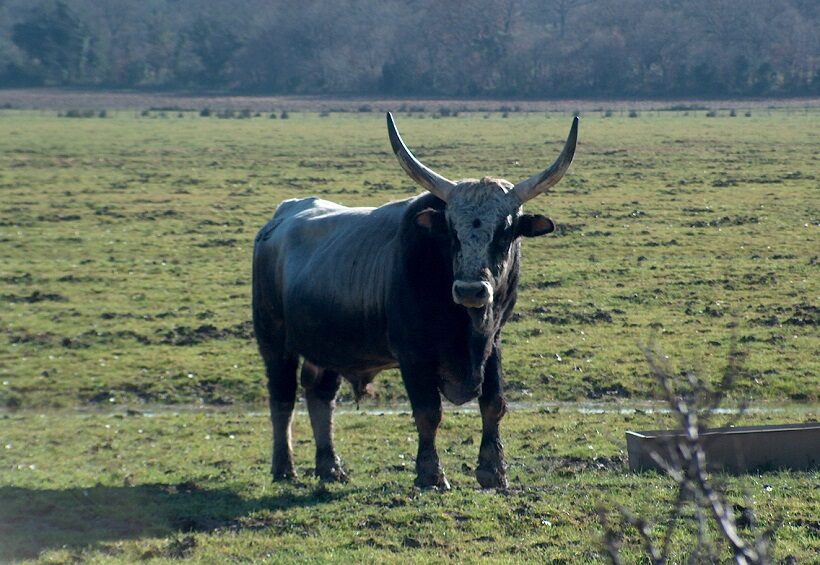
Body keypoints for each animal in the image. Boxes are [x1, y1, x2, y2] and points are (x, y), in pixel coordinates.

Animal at [250, 112, 576, 486]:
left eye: (505, 231)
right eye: (451, 230)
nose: (470, 290)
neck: (465, 326)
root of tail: (280, 218)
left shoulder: (492, 344)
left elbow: (494, 405)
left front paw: (493, 471)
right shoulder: (413, 355)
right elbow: (428, 413)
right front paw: (430, 474)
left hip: (328, 347)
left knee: (321, 397)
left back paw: (330, 467)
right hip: (274, 343)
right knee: (282, 400)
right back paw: (284, 468)